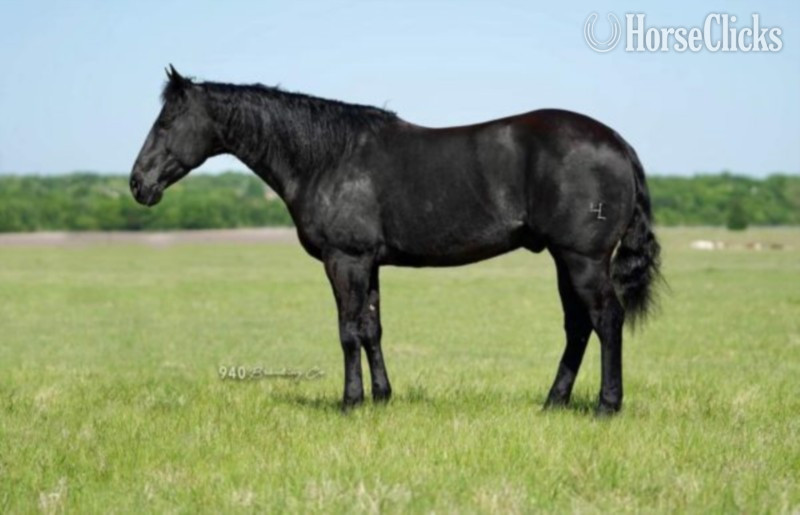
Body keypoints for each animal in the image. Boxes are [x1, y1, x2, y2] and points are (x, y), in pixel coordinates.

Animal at [130, 66, 661, 415]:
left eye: (165, 123)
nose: (138, 184)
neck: (329, 158)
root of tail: (617, 142)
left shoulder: (344, 260)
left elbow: (347, 330)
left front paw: (350, 403)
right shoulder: (369, 263)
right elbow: (372, 328)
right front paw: (382, 398)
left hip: (583, 259)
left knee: (605, 319)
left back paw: (607, 406)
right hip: (564, 259)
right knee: (578, 325)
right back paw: (554, 402)